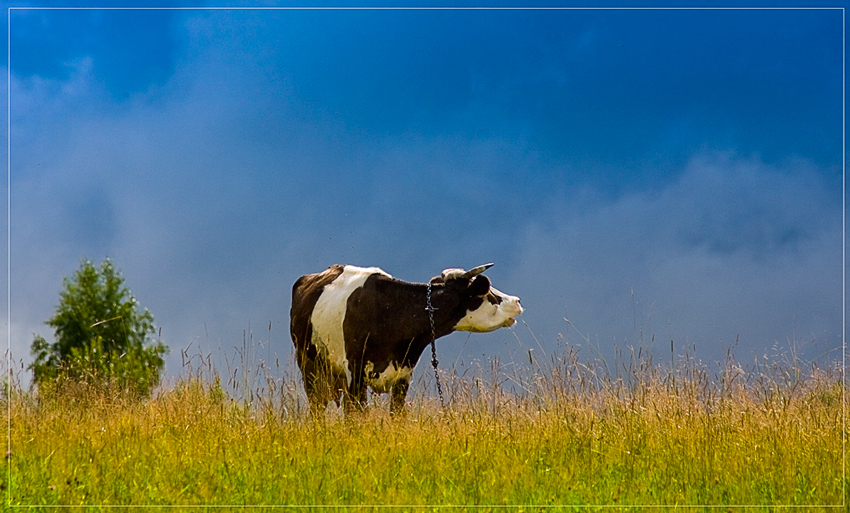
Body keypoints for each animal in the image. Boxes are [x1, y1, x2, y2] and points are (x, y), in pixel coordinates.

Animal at [288, 264, 520, 412]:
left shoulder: (404, 374)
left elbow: (397, 414)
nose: (516, 300)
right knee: (317, 408)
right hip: (310, 366)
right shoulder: (355, 371)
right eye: (488, 293)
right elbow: (356, 414)